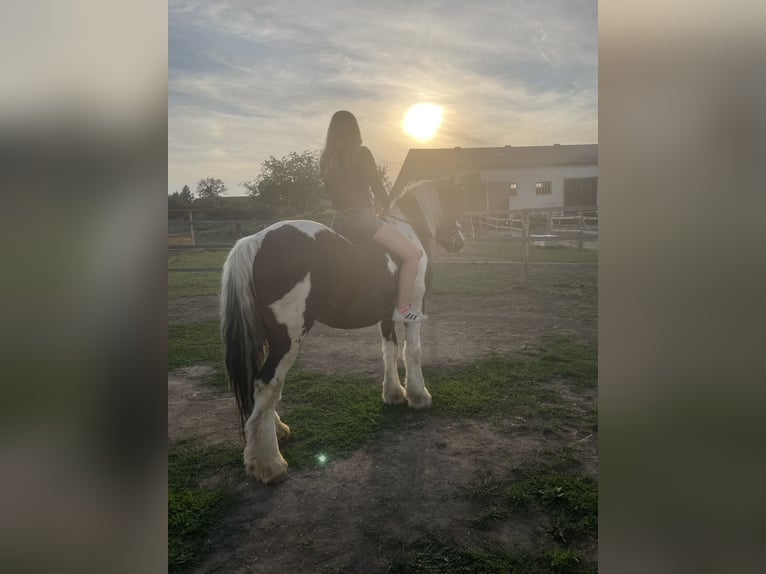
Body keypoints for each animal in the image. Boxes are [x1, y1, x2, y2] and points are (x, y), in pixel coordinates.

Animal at [219, 180, 464, 486]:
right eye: (453, 201)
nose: (460, 240)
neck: (407, 229)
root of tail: (255, 241)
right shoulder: (416, 307)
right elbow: (413, 352)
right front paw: (419, 397)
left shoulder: (385, 316)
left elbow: (390, 350)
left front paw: (394, 394)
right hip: (287, 340)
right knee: (268, 384)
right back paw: (269, 464)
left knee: (258, 385)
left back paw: (275, 433)